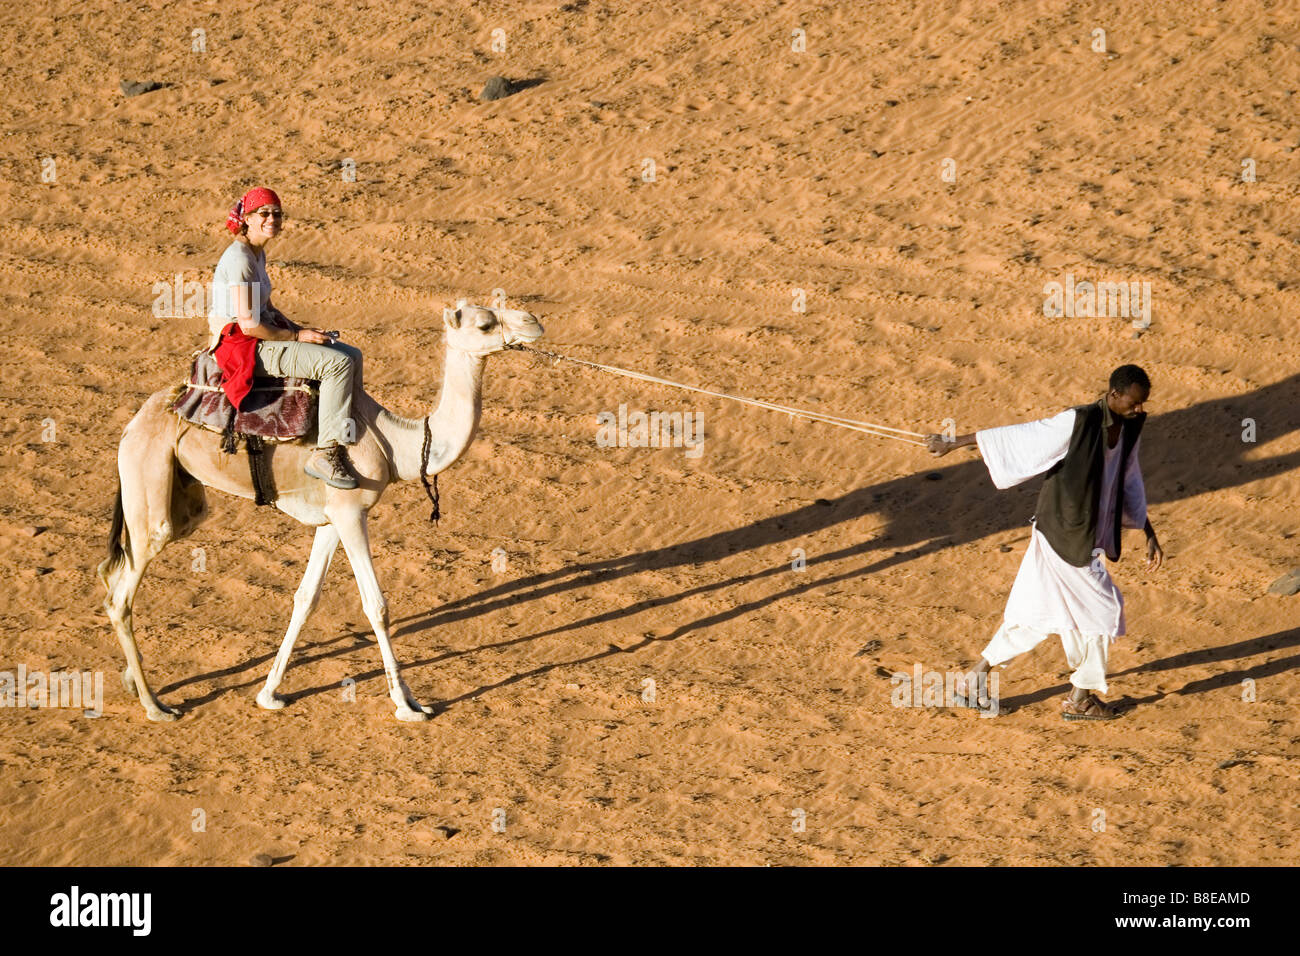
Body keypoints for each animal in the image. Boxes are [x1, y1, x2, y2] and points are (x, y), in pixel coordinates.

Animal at [97, 303, 544, 722]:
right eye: (484, 324)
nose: (534, 321)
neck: (391, 442)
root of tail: (133, 423)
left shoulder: (332, 518)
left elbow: (306, 598)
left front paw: (269, 694)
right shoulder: (350, 513)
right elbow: (376, 605)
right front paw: (408, 705)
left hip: (184, 495)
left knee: (115, 571)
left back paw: (133, 682)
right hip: (149, 478)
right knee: (124, 586)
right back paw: (155, 705)